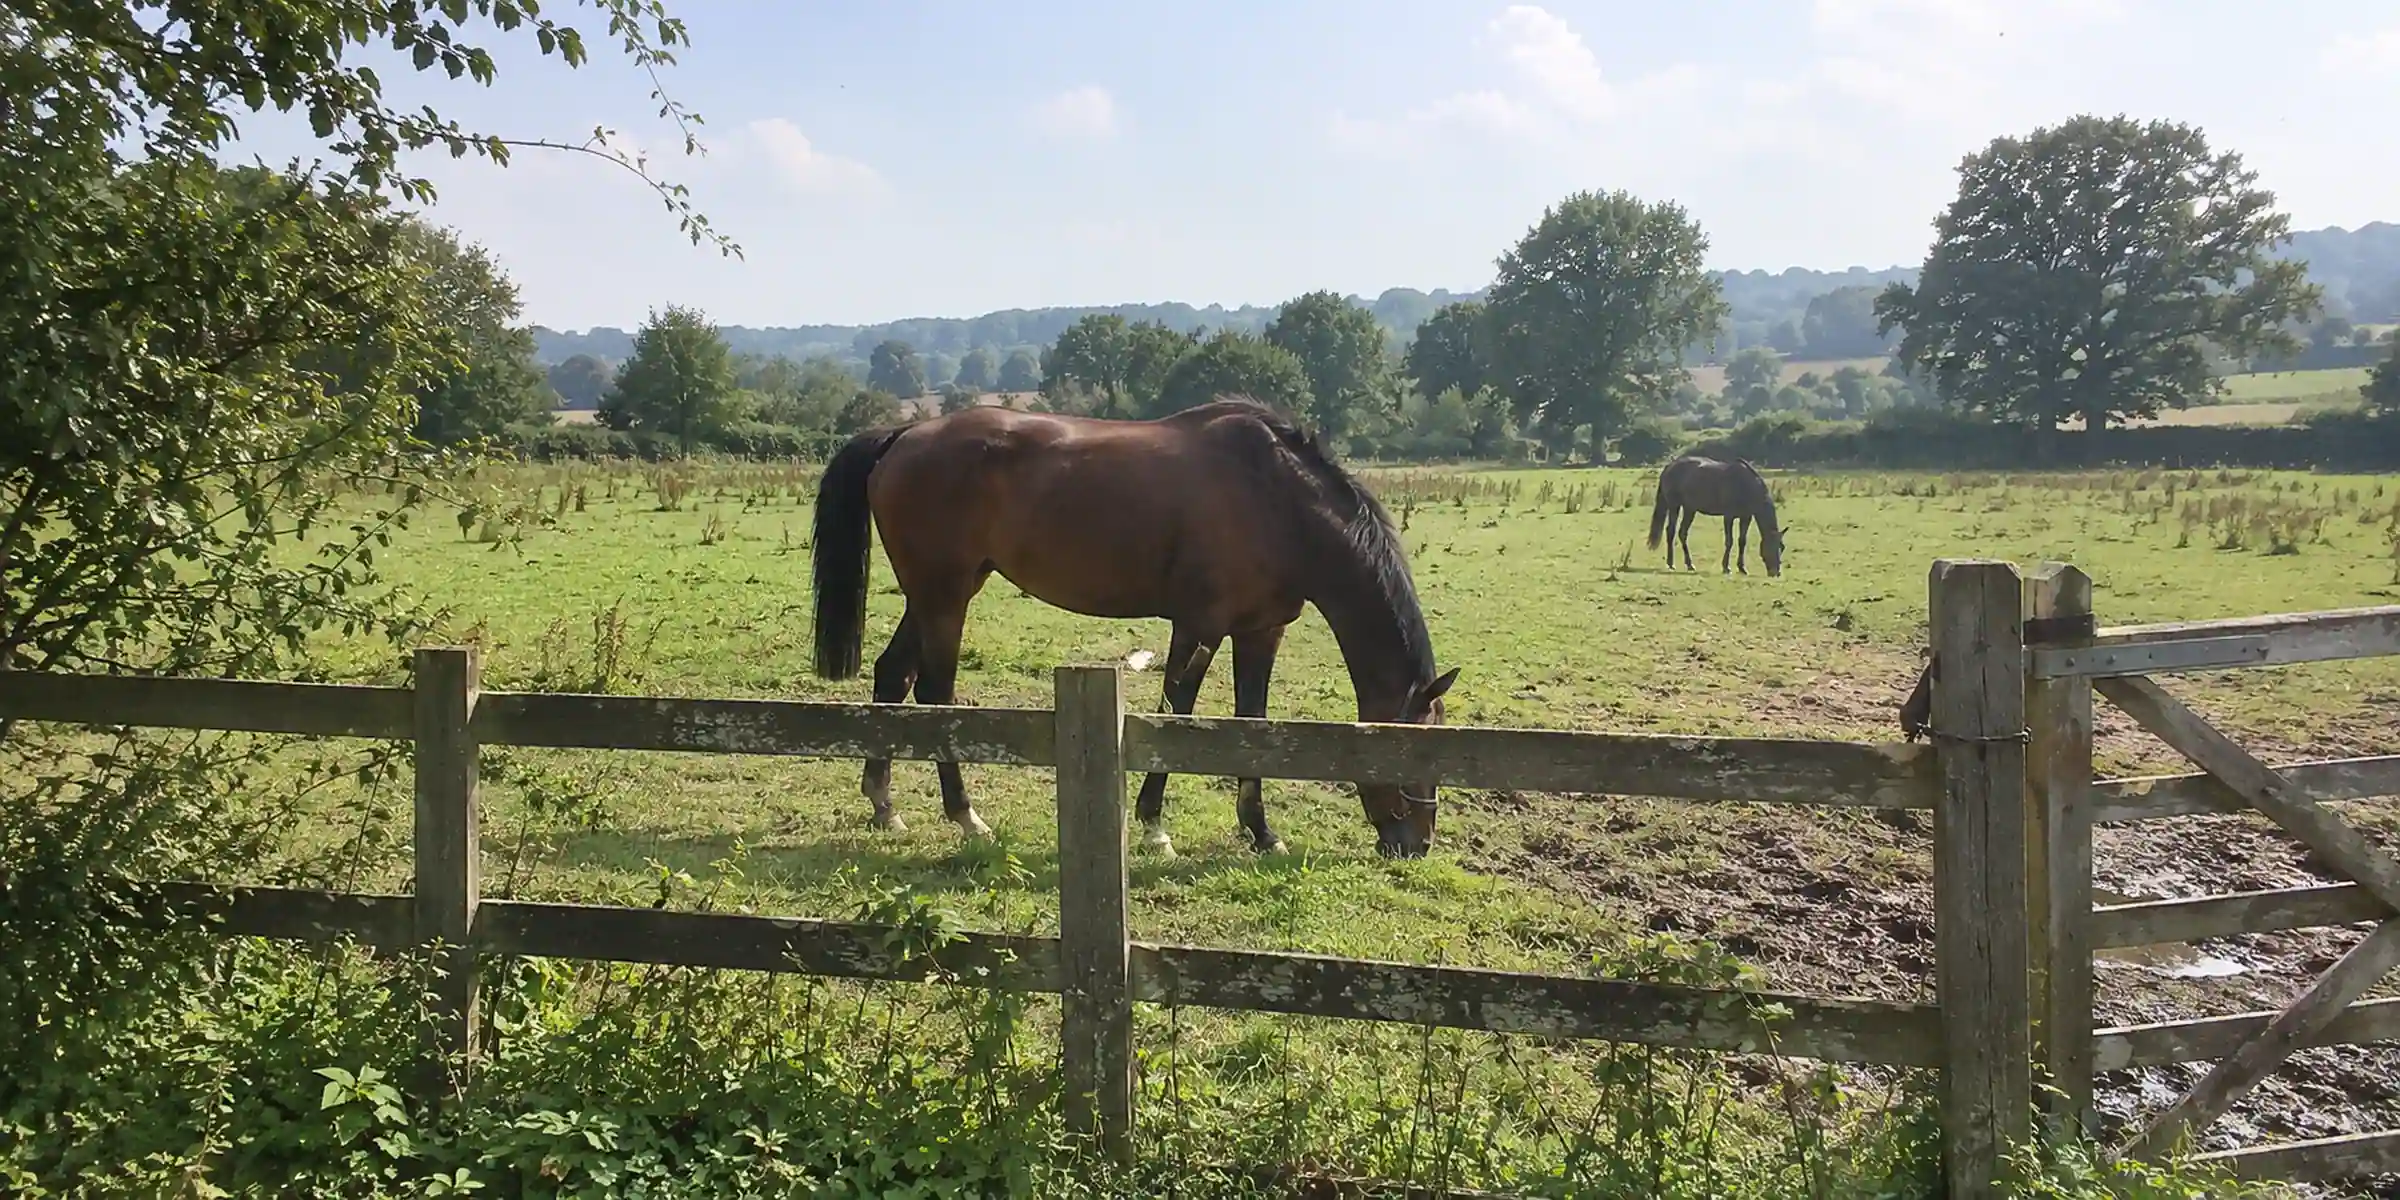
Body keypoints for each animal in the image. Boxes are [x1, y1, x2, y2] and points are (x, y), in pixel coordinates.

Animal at [809, 395, 1461, 859]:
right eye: (1418, 755)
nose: (1417, 845)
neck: (1279, 502)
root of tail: (903, 436)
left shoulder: (1260, 631)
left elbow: (1251, 723)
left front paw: (1260, 832)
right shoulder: (1199, 625)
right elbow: (1179, 713)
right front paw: (1153, 828)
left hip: (937, 592)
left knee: (892, 676)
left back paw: (884, 805)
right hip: (944, 595)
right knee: (934, 691)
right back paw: (966, 816)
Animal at [1646, 454, 1789, 577]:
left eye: (1782, 547)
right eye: (1770, 547)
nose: (1776, 572)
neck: (1745, 486)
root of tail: (1669, 466)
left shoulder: (1745, 517)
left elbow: (1742, 541)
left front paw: (1742, 568)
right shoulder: (1729, 517)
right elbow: (1729, 541)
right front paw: (1726, 568)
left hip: (1689, 509)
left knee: (1682, 533)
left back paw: (1690, 565)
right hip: (1674, 506)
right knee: (1671, 531)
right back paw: (1671, 564)